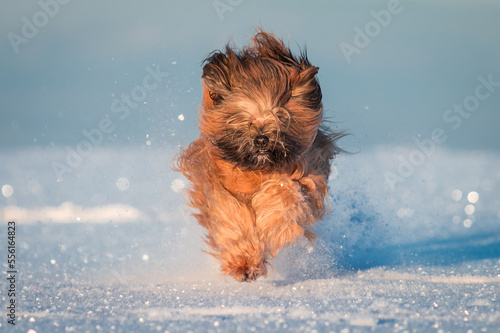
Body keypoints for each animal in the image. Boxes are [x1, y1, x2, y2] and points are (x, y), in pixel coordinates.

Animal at [176, 30, 344, 280]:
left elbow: (284, 192)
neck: (257, 171)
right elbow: (231, 216)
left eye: (280, 117)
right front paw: (244, 262)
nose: (261, 139)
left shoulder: (308, 175)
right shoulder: (216, 185)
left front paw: (275, 227)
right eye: (243, 116)